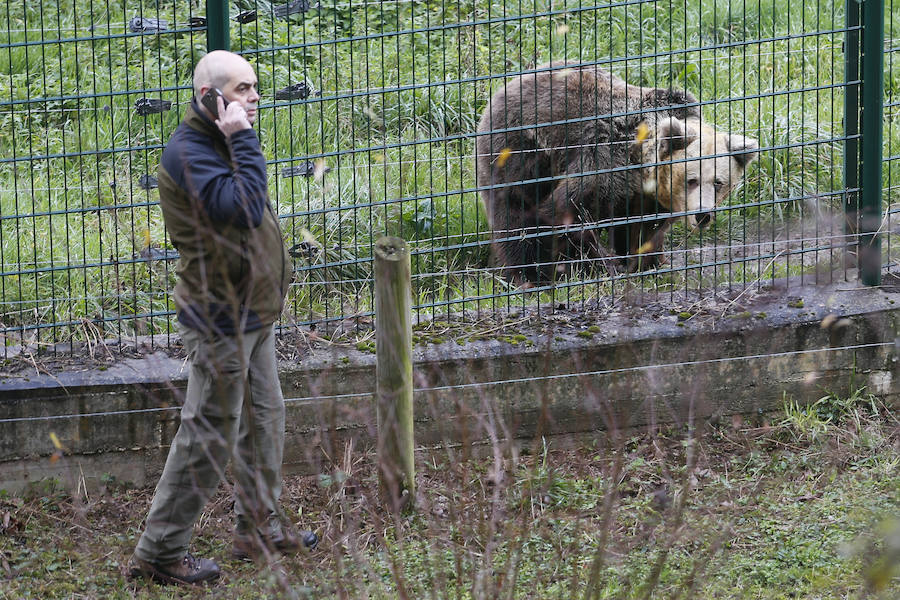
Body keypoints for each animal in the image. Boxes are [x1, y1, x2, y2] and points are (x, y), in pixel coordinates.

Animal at [478, 61, 760, 284]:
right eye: (691, 180)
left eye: (719, 183)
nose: (702, 215)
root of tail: (506, 86)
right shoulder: (606, 162)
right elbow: (566, 212)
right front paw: (603, 265)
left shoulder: (646, 196)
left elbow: (643, 228)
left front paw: (649, 262)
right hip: (522, 147)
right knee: (516, 213)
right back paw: (529, 275)